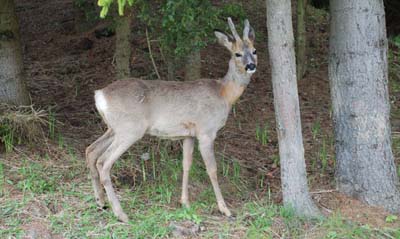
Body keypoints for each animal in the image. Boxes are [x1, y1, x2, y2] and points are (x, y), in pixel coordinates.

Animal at [86, 17, 258, 222]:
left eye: (254, 50)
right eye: (237, 54)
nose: (251, 66)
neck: (224, 94)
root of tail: (99, 95)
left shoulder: (188, 134)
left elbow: (186, 165)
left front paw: (185, 203)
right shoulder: (206, 131)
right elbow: (212, 169)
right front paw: (225, 209)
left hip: (114, 128)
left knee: (91, 151)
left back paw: (101, 202)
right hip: (130, 129)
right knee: (104, 162)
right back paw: (121, 214)